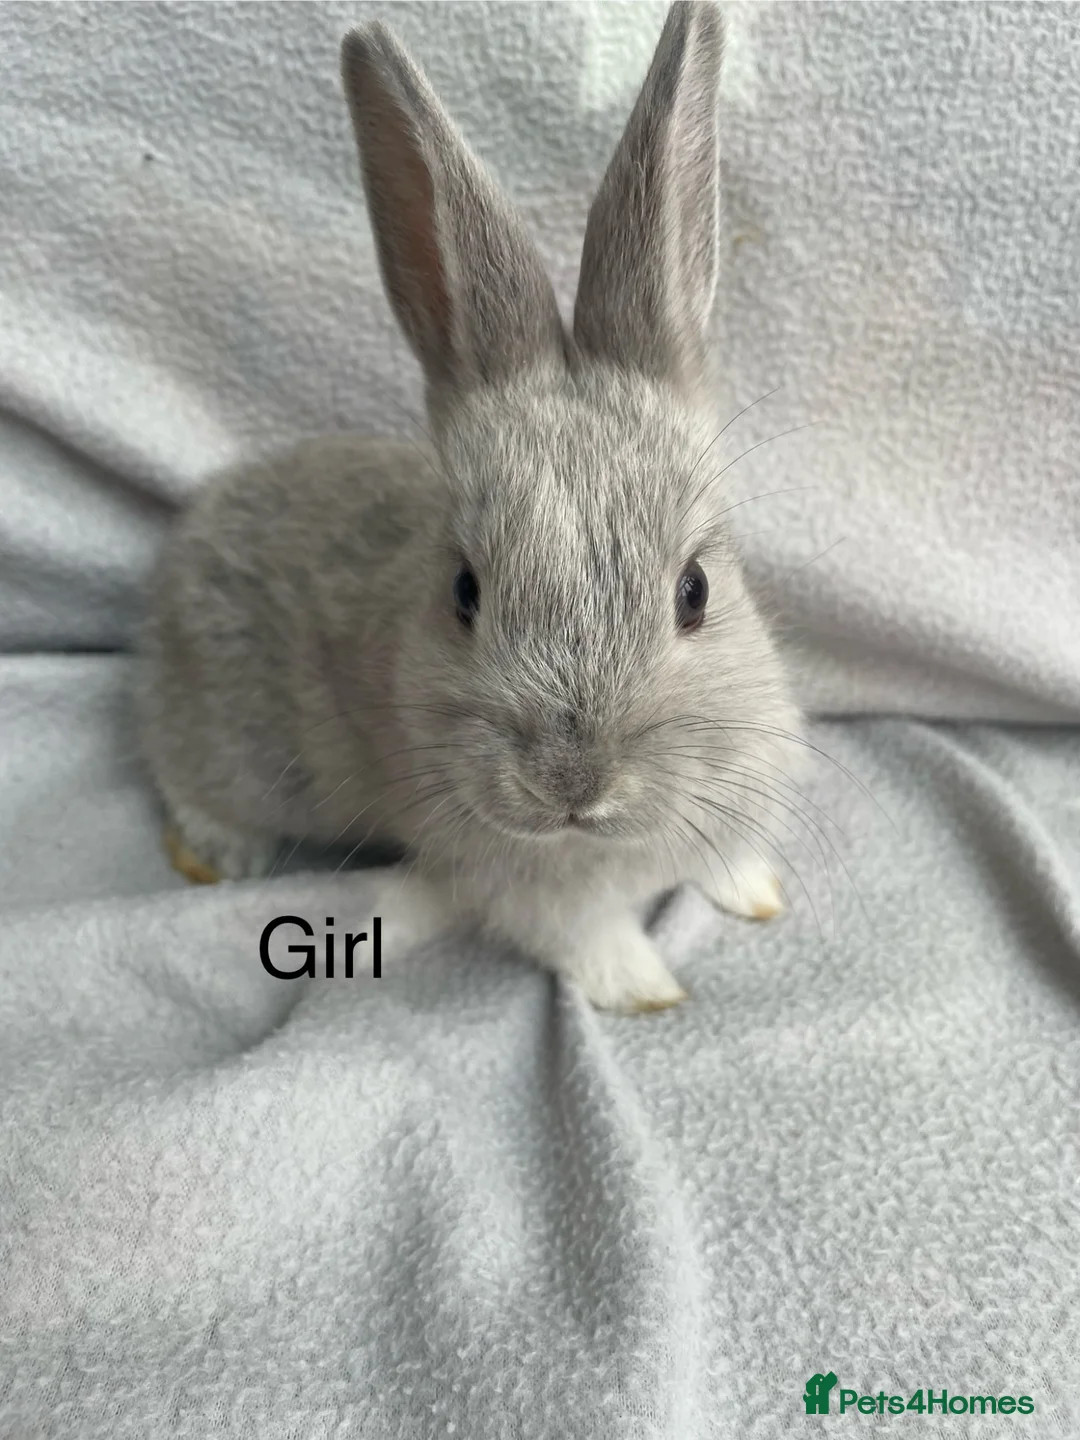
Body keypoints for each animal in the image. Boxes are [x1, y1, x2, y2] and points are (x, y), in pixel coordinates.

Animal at [137, 0, 804, 1013]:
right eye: (464, 593)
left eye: (695, 592)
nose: (572, 782)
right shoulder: (524, 885)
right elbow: (580, 934)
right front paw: (648, 989)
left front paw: (755, 894)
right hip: (231, 740)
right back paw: (217, 856)